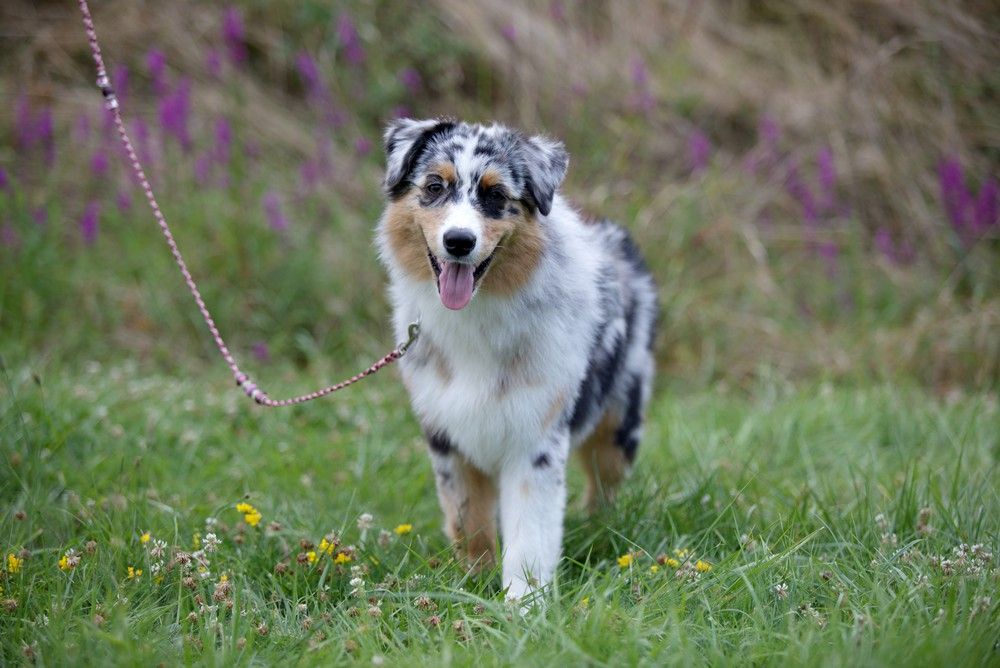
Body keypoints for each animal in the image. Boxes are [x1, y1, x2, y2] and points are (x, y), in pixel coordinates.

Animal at [376, 116, 656, 600]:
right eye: (434, 186)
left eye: (495, 195)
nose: (459, 241)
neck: (477, 316)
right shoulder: (447, 437)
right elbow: (469, 523)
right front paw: (474, 586)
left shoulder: (535, 439)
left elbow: (530, 538)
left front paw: (523, 605)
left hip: (620, 426)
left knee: (605, 485)